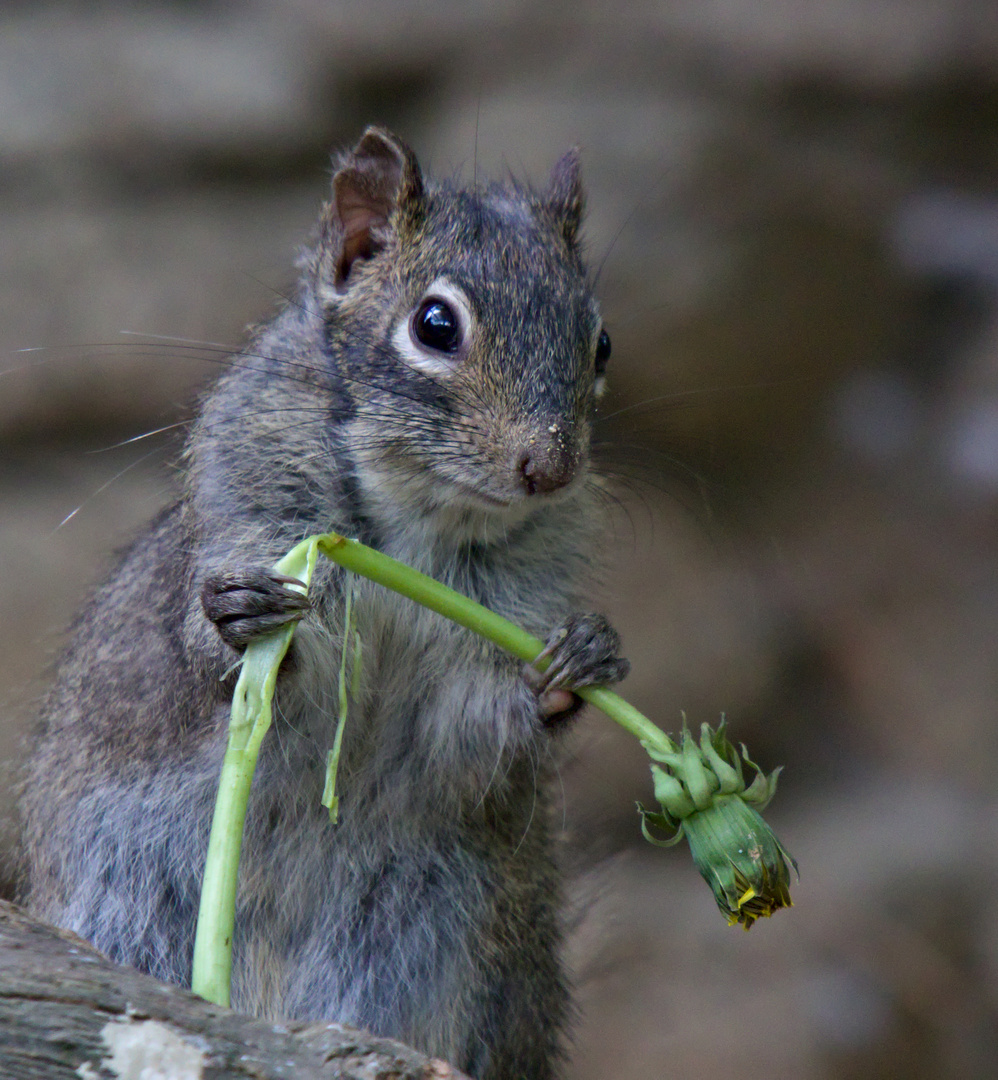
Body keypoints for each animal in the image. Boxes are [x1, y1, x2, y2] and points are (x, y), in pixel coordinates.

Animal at [17, 128, 630, 1080]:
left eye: (599, 343)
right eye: (435, 325)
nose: (549, 469)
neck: (414, 535)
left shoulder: (501, 627)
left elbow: (471, 732)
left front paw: (573, 666)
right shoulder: (248, 505)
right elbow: (234, 665)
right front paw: (236, 616)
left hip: (428, 940)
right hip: (126, 903)